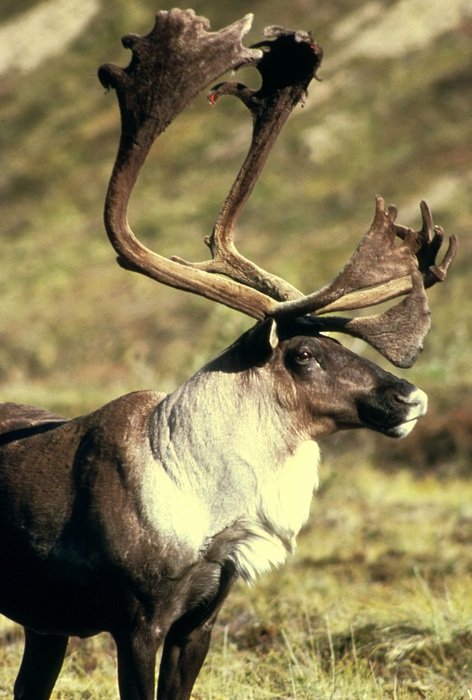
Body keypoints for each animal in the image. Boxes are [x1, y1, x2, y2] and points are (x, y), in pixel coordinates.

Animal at [0, 9, 457, 700]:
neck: (208, 510)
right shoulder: (137, 621)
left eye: (337, 341)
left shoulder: (201, 620)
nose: (412, 397)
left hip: (45, 625)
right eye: (303, 354)